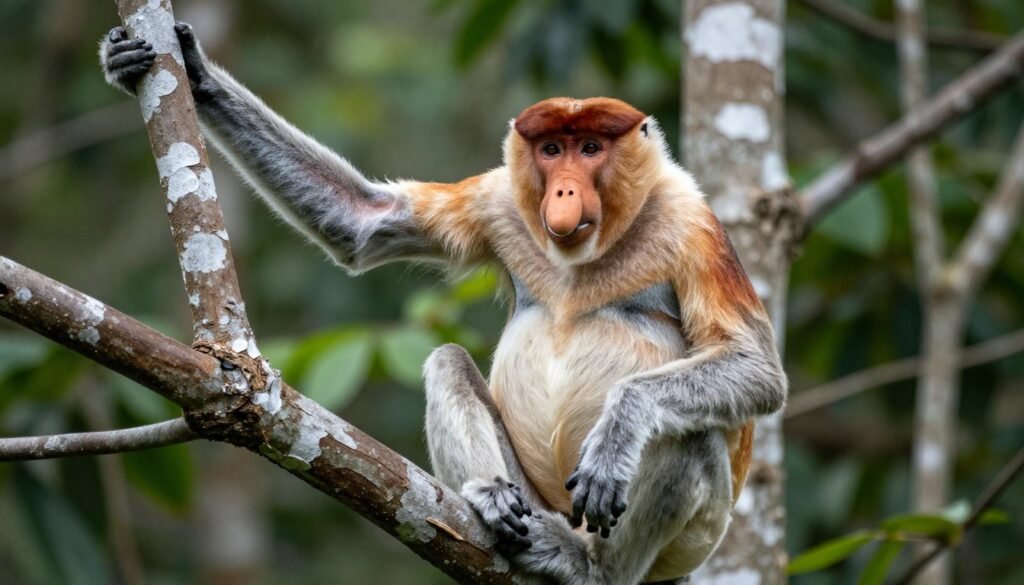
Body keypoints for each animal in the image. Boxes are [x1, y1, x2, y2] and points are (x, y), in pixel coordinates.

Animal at [101, 23, 786, 584]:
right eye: (552, 149)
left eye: (591, 148)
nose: (563, 192)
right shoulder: (500, 198)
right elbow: (364, 222)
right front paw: (187, 69)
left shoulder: (691, 224)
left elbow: (756, 370)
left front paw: (619, 430)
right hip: (540, 494)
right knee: (448, 361)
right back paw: (492, 499)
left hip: (695, 538)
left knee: (691, 435)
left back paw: (590, 565)